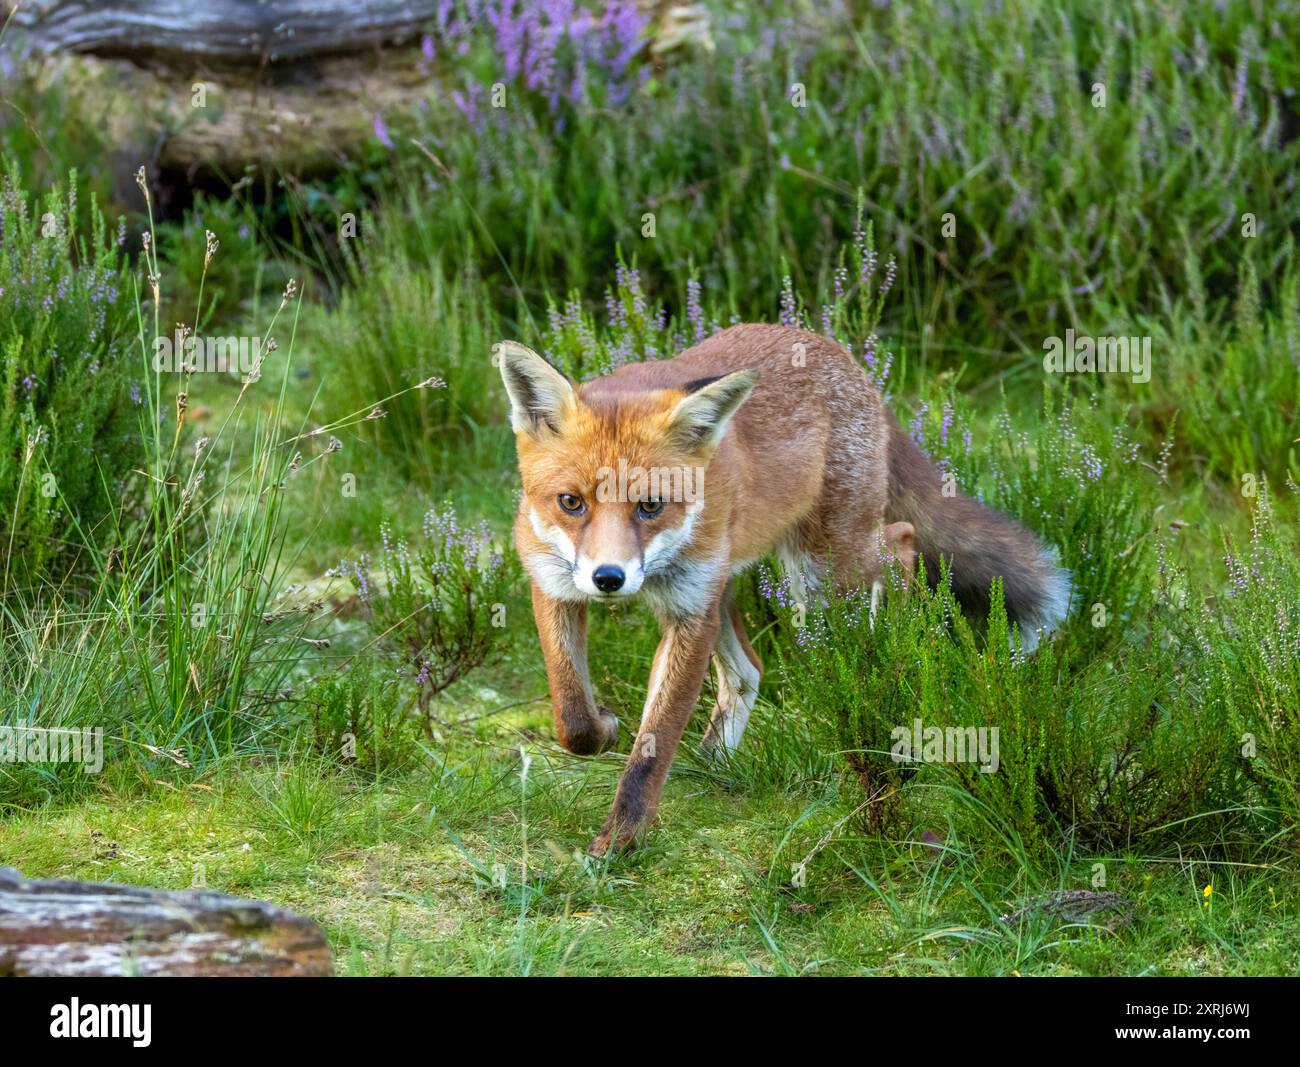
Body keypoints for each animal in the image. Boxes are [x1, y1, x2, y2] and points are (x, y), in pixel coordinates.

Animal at [493, 321, 1066, 852]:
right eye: (571, 503)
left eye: (650, 505)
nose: (609, 579)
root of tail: (839, 353)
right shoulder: (555, 584)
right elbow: (573, 717)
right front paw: (606, 731)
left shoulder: (688, 610)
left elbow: (652, 748)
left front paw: (622, 839)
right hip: (735, 580)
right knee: (749, 670)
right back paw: (715, 757)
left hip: (825, 565)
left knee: (901, 542)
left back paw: (893, 661)